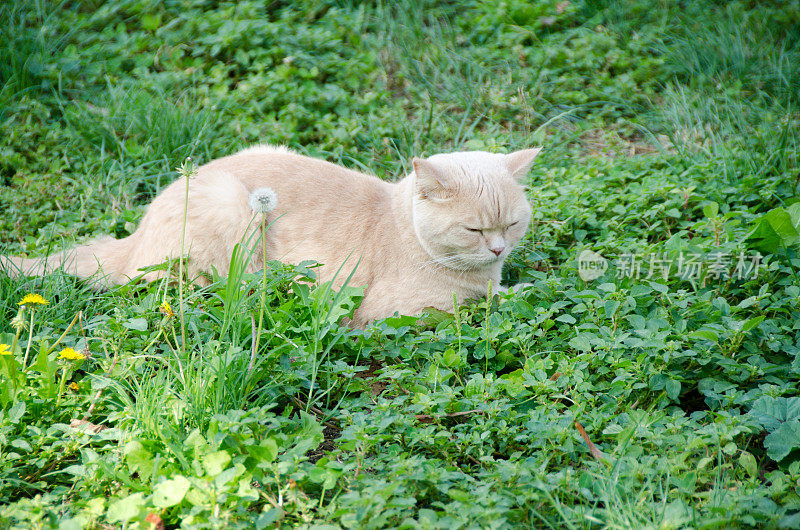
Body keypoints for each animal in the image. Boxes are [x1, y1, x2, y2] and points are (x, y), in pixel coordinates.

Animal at [0, 145, 540, 326]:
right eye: (473, 229)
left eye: (512, 224)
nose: (498, 248)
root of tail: (135, 233)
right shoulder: (398, 312)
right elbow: (474, 306)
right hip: (231, 212)